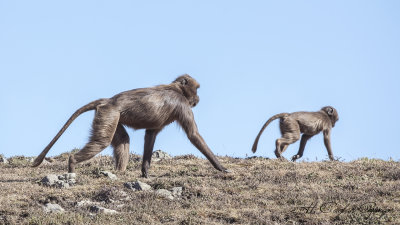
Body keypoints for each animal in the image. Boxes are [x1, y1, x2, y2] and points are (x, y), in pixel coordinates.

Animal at [31, 74, 228, 178]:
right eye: (197, 89)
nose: (198, 98)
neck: (176, 89)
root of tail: (109, 100)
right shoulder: (182, 105)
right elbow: (193, 135)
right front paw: (221, 167)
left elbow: (150, 135)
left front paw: (145, 172)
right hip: (109, 114)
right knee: (102, 141)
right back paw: (72, 166)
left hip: (112, 117)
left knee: (123, 139)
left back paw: (119, 172)